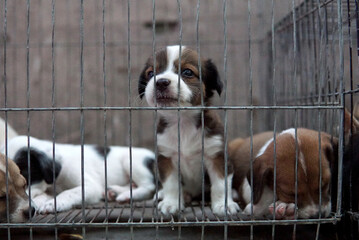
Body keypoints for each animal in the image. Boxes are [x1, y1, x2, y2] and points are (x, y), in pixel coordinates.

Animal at [1, 135, 156, 214]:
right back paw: (114, 192)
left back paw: (127, 195)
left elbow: (70, 192)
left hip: (132, 160)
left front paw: (53, 204)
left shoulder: (91, 187)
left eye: (24, 177)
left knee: (150, 187)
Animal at [139, 45, 240, 216]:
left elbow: (220, 185)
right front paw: (171, 203)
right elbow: (171, 184)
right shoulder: (166, 157)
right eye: (151, 73)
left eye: (187, 72)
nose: (161, 82)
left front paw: (224, 205)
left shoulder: (217, 156)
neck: (183, 121)